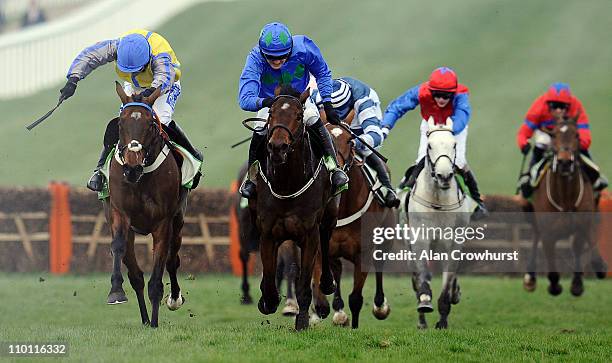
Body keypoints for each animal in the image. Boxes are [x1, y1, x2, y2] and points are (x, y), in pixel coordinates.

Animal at [104, 83, 188, 330]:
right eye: (120, 124)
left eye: (150, 124)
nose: (132, 167)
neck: (140, 180)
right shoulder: (119, 214)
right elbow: (118, 246)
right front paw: (115, 292)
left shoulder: (163, 223)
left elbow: (158, 272)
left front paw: (155, 323)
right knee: (136, 276)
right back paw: (143, 318)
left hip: (178, 221)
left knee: (172, 259)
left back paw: (172, 300)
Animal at [247, 84, 338, 330]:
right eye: (270, 114)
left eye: (298, 116)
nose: (278, 147)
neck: (288, 184)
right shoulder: (268, 232)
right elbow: (270, 277)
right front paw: (267, 300)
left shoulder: (309, 234)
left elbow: (305, 283)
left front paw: (303, 321)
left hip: (329, 218)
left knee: (326, 243)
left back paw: (327, 284)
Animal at [310, 122, 392, 330]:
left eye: (350, 141)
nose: (336, 168)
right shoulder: (321, 247)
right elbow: (320, 283)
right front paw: (320, 308)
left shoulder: (363, 253)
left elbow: (356, 298)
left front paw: (354, 328)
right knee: (337, 270)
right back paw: (337, 311)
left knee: (380, 265)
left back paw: (380, 306)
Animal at [520, 115, 608, 298]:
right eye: (553, 135)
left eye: (577, 135)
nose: (565, 161)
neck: (565, 197)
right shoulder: (548, 233)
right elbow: (552, 269)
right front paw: (555, 287)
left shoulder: (584, 222)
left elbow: (586, 247)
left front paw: (580, 282)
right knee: (535, 237)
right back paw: (530, 279)